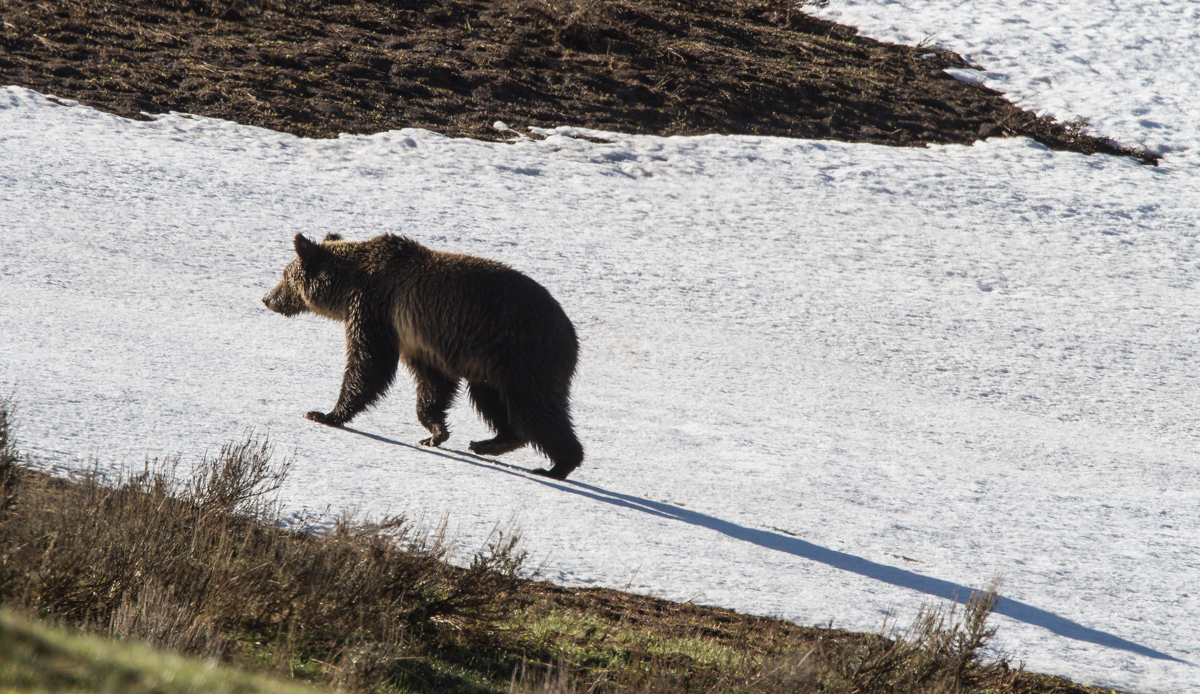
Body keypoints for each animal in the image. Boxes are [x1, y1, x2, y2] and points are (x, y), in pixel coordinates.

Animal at [263, 232, 583, 480]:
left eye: (284, 275)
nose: (267, 298)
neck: (347, 285)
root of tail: (572, 332)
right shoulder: (422, 342)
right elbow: (433, 385)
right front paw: (435, 432)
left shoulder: (375, 308)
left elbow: (368, 363)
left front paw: (324, 414)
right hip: (490, 365)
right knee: (493, 401)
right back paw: (487, 442)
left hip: (523, 353)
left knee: (535, 408)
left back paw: (558, 465)